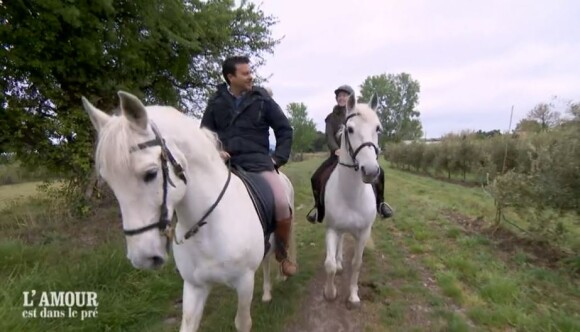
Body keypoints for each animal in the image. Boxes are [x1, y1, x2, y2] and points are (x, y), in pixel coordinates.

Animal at [82, 91, 294, 332]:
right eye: (109, 182)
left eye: (151, 173)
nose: (143, 257)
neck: (208, 228)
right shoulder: (194, 286)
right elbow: (188, 324)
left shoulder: (244, 282)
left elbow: (242, 323)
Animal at [322, 92, 380, 308]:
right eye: (350, 129)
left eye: (378, 128)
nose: (370, 171)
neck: (351, 196)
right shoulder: (331, 229)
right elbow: (329, 264)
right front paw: (330, 293)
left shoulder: (363, 233)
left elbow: (357, 263)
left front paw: (353, 296)